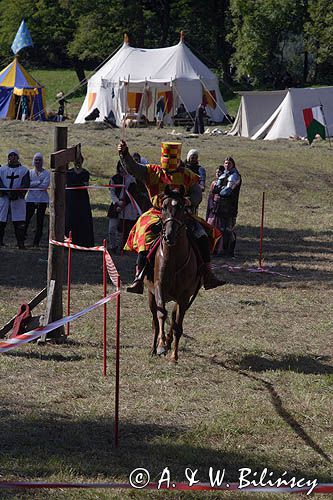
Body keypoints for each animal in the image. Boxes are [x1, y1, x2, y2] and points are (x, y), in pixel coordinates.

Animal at [145, 186, 200, 362]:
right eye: (163, 207)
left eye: (181, 207)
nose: (169, 235)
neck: (174, 258)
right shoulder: (158, 287)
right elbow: (162, 315)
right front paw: (161, 344)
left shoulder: (184, 295)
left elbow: (177, 326)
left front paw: (174, 355)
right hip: (151, 295)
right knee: (155, 321)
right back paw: (154, 347)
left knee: (175, 318)